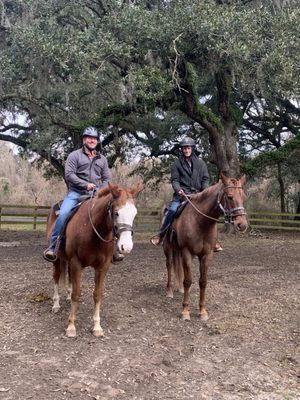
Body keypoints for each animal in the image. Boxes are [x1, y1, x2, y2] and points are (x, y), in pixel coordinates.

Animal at [46, 184, 141, 338]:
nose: (126, 247)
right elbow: (77, 293)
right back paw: (56, 304)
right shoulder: (76, 263)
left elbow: (97, 294)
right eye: (116, 213)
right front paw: (71, 326)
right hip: (57, 260)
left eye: (134, 214)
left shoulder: (103, 267)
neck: (93, 229)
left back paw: (66, 297)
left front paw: (97, 326)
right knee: (56, 277)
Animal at [163, 173, 247, 320]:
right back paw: (169, 291)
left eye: (244, 197)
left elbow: (203, 282)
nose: (242, 224)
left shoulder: (207, 255)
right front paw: (185, 311)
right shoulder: (187, 253)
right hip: (168, 249)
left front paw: (202, 311)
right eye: (230, 196)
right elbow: (188, 281)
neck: (200, 222)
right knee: (169, 265)